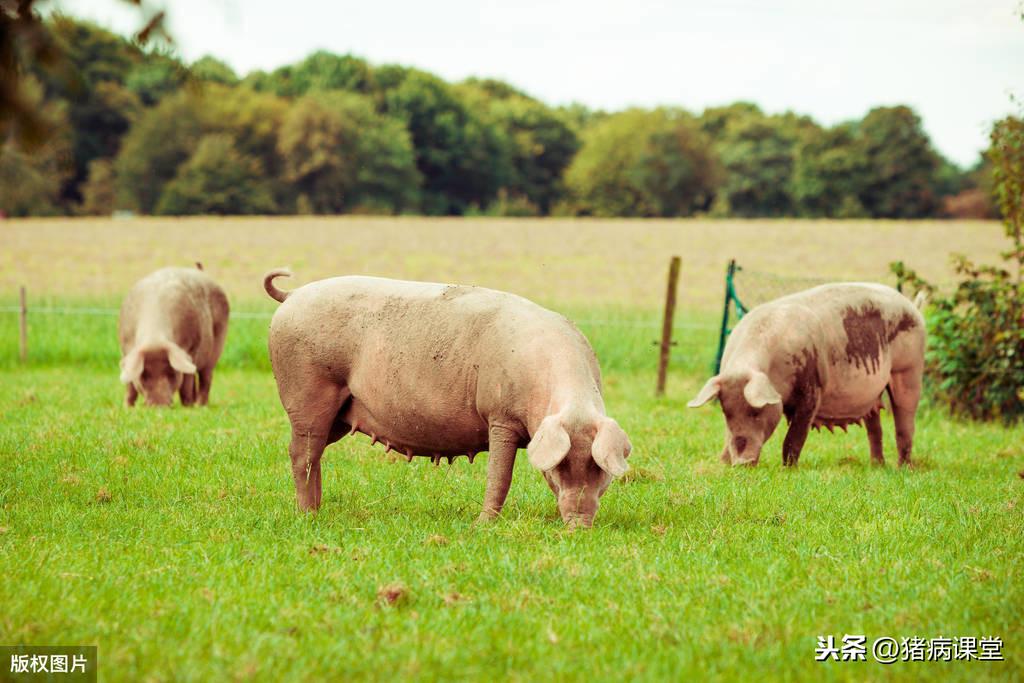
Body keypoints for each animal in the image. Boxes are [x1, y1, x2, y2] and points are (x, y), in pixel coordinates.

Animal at [118, 266, 230, 405]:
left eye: (172, 373)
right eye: (143, 375)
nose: (159, 405)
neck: (155, 339)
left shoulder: (191, 349)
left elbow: (186, 384)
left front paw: (187, 406)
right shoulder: (126, 352)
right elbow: (130, 386)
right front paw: (127, 407)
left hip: (216, 348)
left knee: (206, 378)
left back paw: (199, 405)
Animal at [264, 270, 630, 528]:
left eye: (599, 469)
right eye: (560, 466)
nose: (579, 526)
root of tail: (292, 294)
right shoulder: (500, 417)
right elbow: (500, 475)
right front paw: (482, 525)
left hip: (339, 413)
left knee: (314, 452)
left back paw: (317, 509)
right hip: (308, 388)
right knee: (302, 452)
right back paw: (308, 515)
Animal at [692, 284, 925, 471]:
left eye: (756, 412)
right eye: (726, 412)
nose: (742, 463)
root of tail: (913, 306)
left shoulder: (812, 388)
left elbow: (795, 436)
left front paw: (788, 470)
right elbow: (727, 436)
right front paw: (723, 464)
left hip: (909, 371)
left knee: (905, 425)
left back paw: (903, 468)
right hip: (873, 396)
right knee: (875, 429)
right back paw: (877, 466)